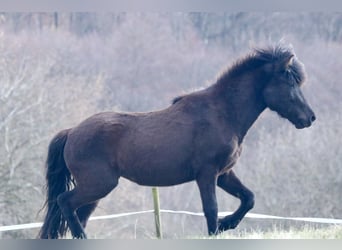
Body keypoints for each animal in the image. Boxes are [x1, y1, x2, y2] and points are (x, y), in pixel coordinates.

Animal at [38, 45, 316, 238]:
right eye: (290, 82)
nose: (310, 118)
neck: (222, 113)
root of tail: (71, 132)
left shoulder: (224, 173)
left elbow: (248, 198)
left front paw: (227, 224)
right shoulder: (207, 174)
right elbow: (211, 208)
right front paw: (219, 228)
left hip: (95, 190)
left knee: (76, 213)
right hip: (98, 185)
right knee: (65, 203)